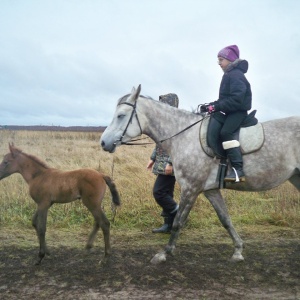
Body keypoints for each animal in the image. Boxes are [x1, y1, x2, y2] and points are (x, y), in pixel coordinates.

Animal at [99, 85, 298, 264]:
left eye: (121, 115)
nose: (103, 142)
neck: (184, 136)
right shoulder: (210, 190)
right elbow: (225, 219)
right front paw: (238, 250)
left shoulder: (191, 188)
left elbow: (178, 221)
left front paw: (164, 253)